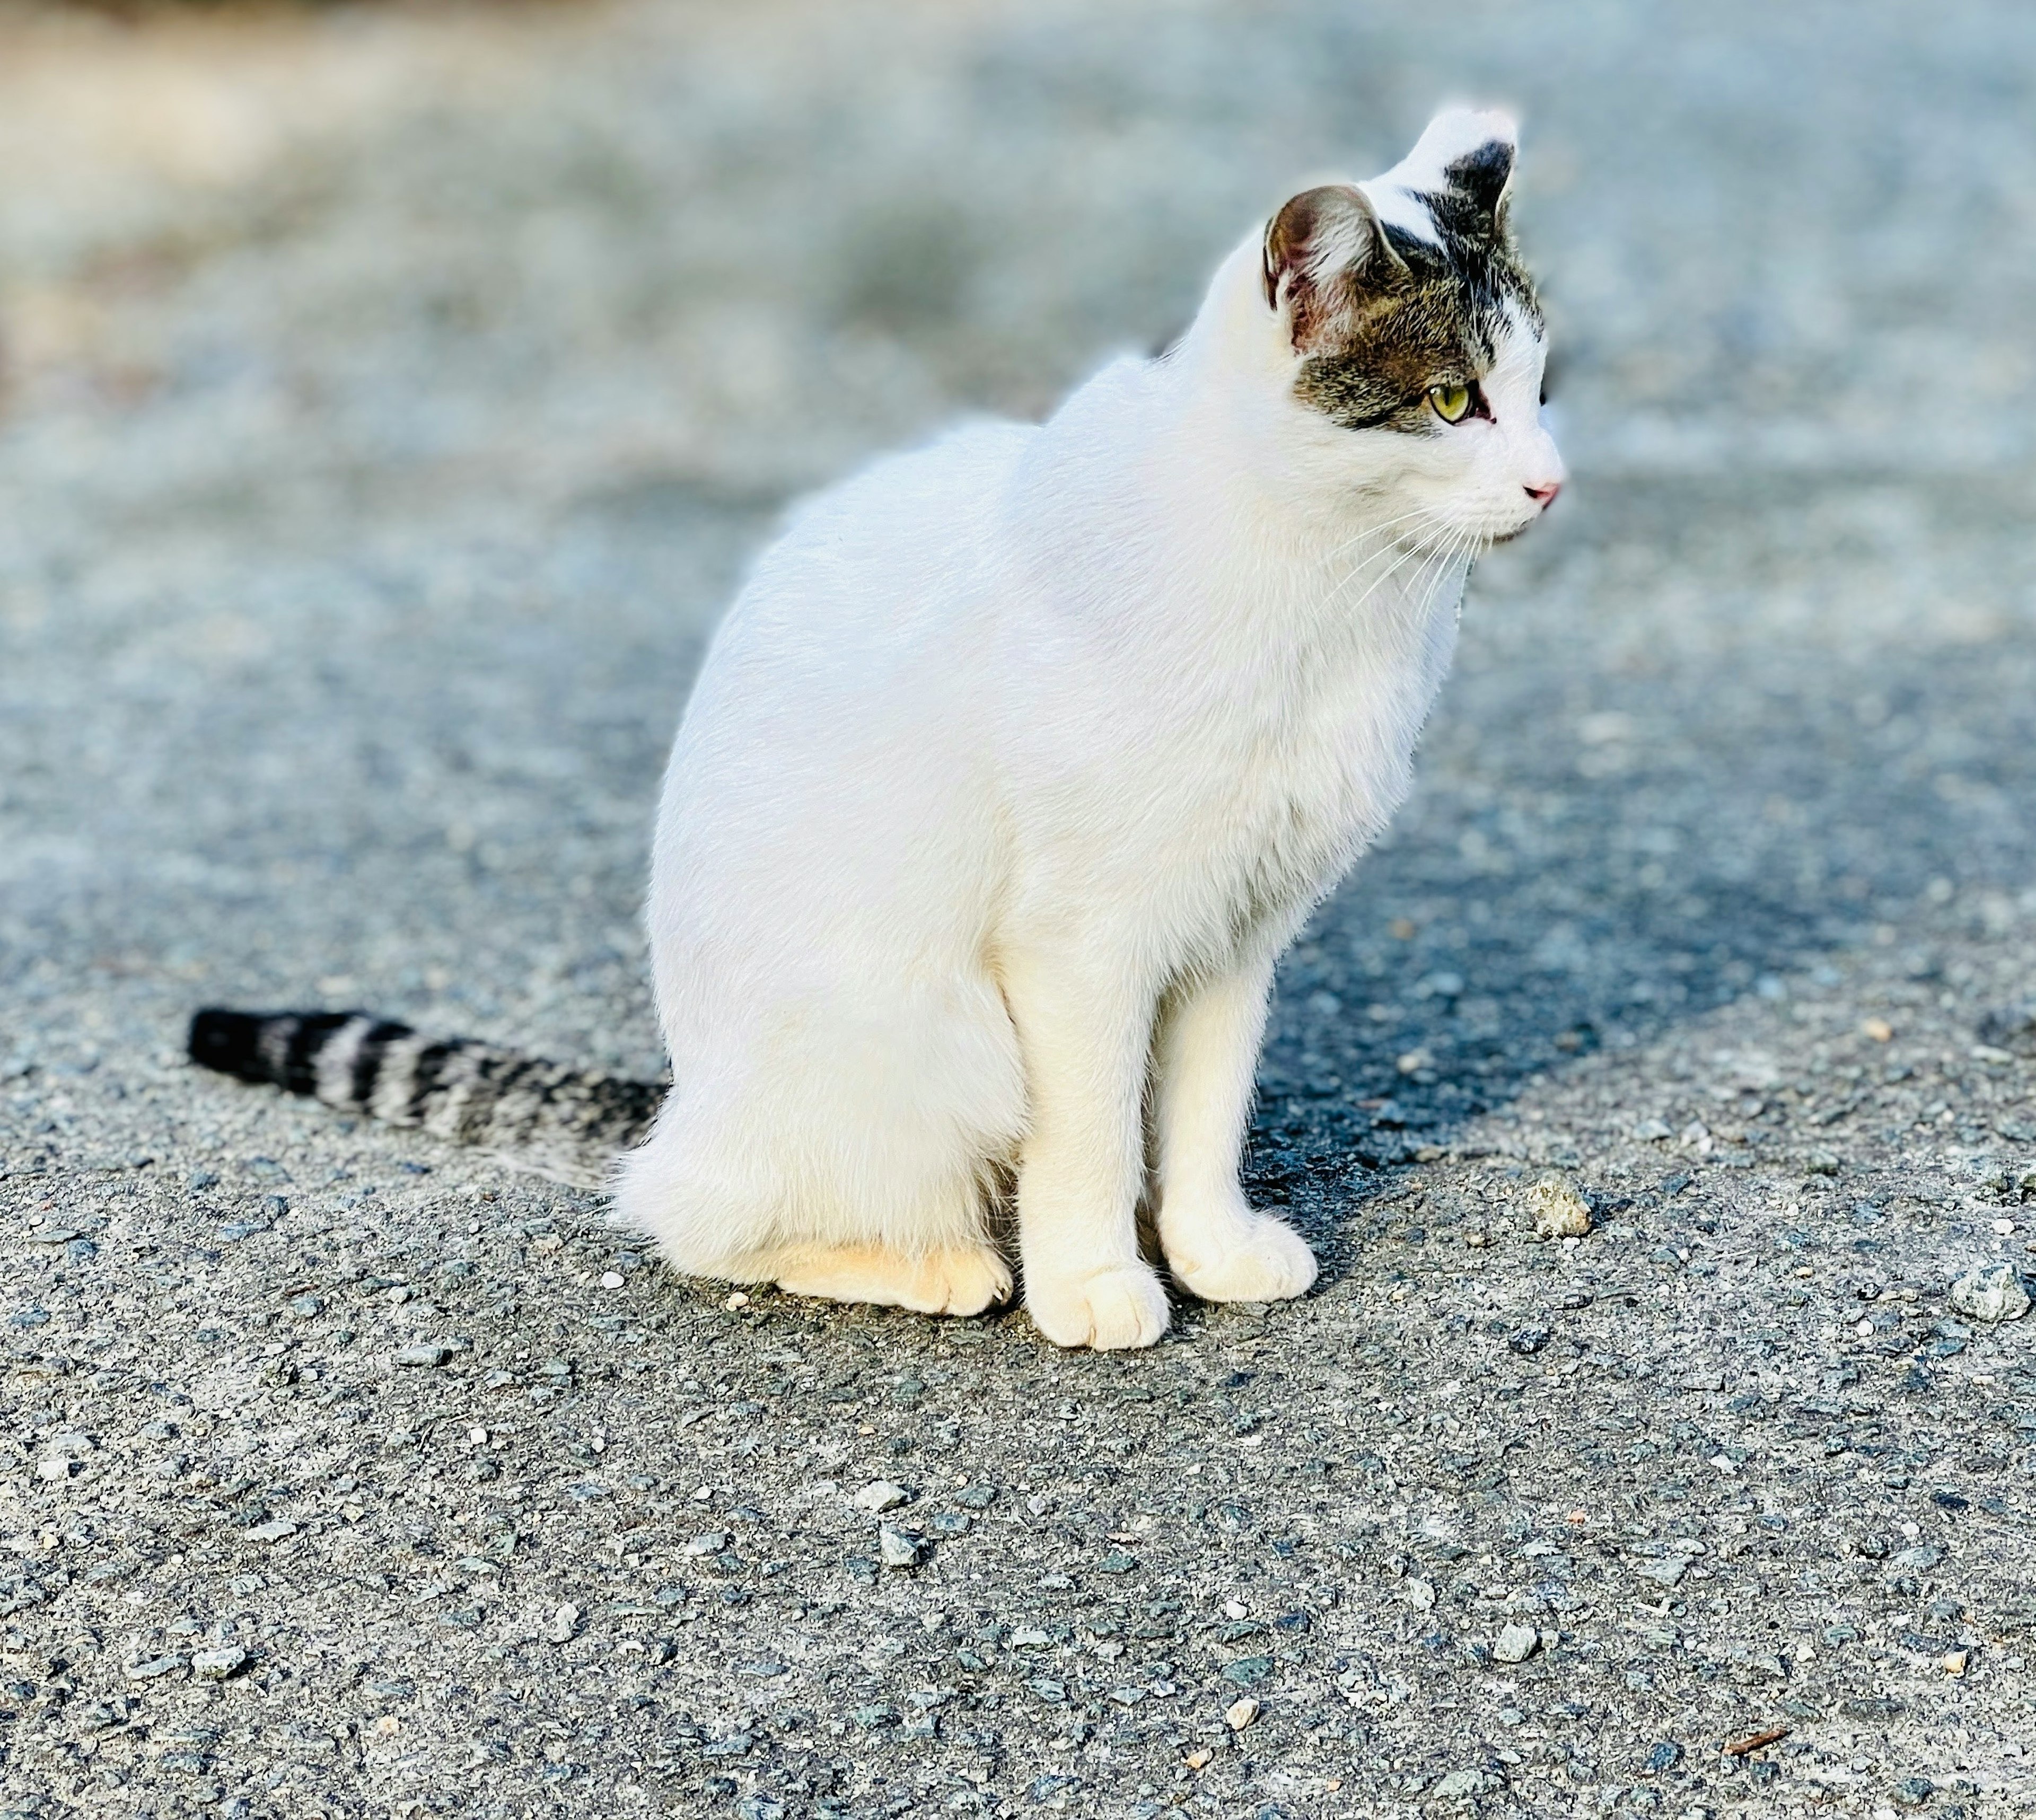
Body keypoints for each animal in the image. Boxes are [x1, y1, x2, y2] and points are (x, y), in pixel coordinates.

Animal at [611, 107, 1564, 1343]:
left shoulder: (1238, 931)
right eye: (1453, 401)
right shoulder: (1079, 945)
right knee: (702, 1222)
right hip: (938, 1043)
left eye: (1541, 391)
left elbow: (1207, 1112)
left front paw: (1208, 1249)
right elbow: (1091, 1133)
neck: (1321, 583)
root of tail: (693, 1101)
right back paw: (938, 1264)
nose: (1552, 483)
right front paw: (1094, 1282)